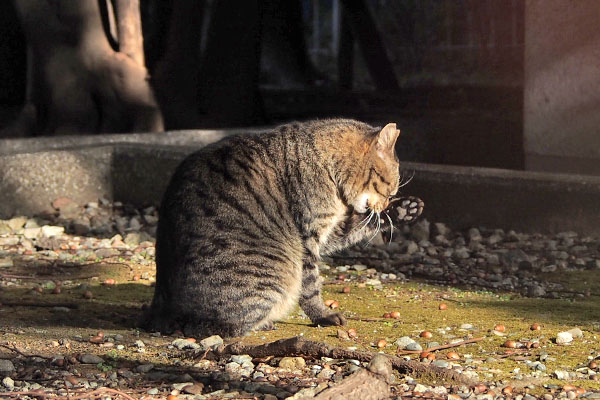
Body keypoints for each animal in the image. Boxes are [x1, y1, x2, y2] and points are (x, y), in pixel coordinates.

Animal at [141, 119, 422, 338]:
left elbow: (356, 225)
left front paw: (404, 209)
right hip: (274, 271)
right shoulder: (308, 237)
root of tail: (159, 309)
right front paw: (323, 315)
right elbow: (310, 287)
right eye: (389, 188)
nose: (388, 201)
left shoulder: (329, 232)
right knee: (210, 328)